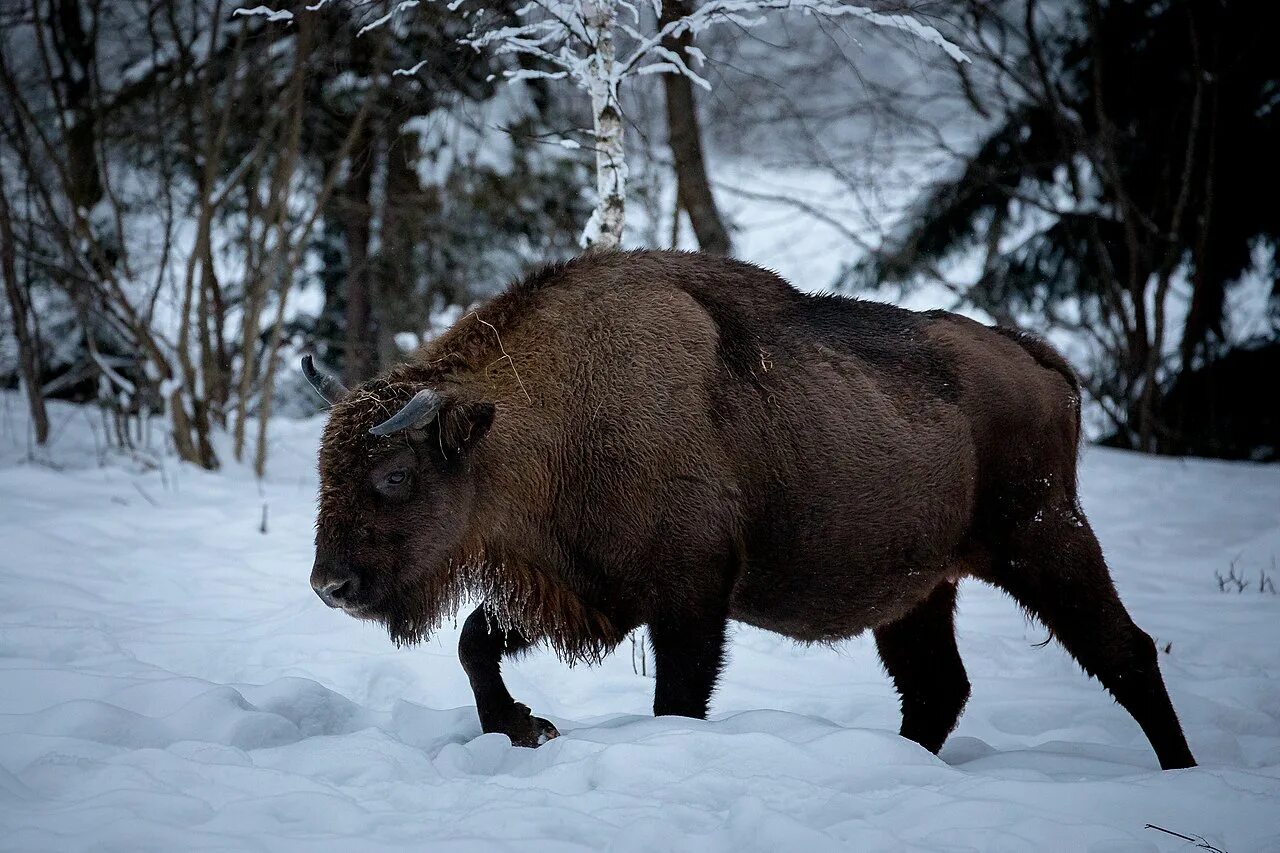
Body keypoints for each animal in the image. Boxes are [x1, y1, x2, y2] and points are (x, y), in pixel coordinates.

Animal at [304, 249, 1192, 768]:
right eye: (325, 467)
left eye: (393, 475)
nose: (329, 585)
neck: (535, 419)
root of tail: (1040, 362)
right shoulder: (585, 590)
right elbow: (473, 641)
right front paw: (526, 727)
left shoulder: (688, 605)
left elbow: (676, 698)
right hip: (919, 591)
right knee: (938, 686)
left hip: (1043, 542)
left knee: (1125, 651)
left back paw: (1179, 771)